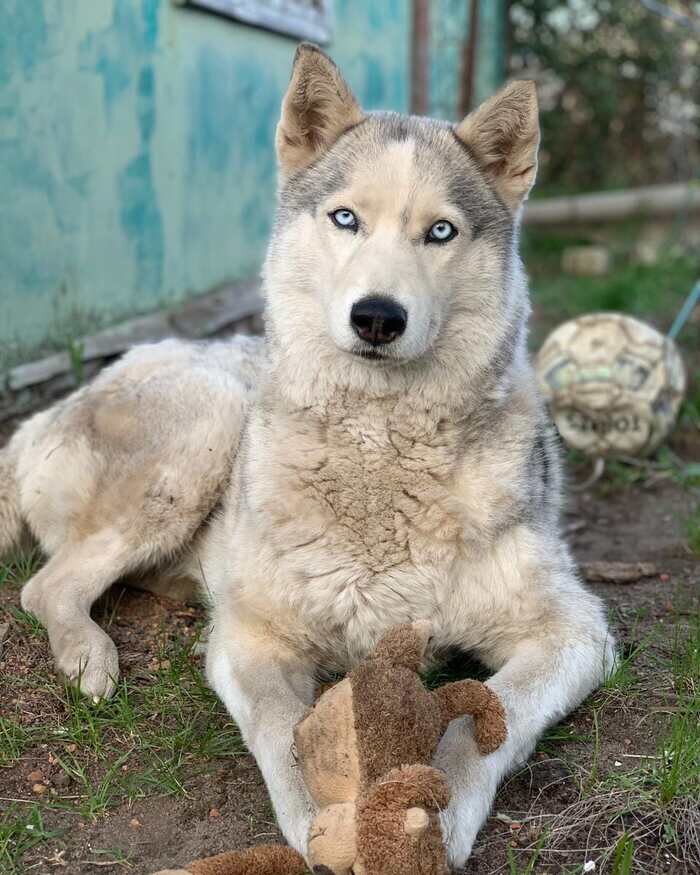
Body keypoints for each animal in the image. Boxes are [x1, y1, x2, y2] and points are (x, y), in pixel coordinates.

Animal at [1, 44, 612, 864]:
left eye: (440, 232)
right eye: (345, 218)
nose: (378, 317)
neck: (380, 446)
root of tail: (36, 422)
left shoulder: (574, 629)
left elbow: (486, 715)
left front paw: (439, 819)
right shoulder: (250, 636)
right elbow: (284, 731)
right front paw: (324, 824)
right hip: (209, 419)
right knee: (47, 586)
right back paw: (88, 655)